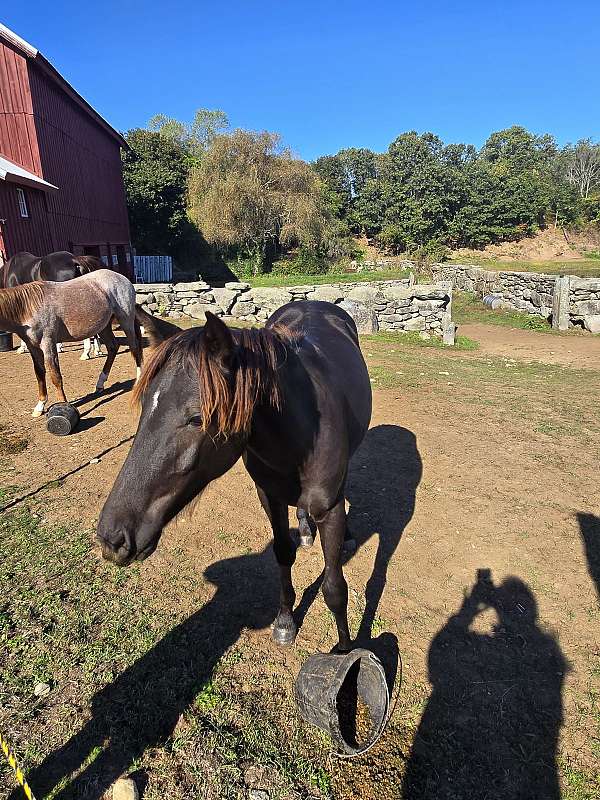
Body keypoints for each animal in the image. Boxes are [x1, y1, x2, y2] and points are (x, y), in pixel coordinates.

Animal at [0, 270, 143, 417]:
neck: (29, 308)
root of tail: (122, 278)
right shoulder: (33, 347)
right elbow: (39, 374)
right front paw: (40, 406)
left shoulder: (48, 344)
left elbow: (55, 376)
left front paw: (63, 406)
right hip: (104, 326)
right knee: (113, 347)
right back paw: (100, 384)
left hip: (126, 320)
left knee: (135, 347)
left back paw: (139, 379)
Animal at [97, 302, 372, 652]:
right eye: (145, 404)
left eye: (197, 418)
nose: (112, 537)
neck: (302, 432)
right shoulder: (269, 497)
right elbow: (283, 552)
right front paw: (285, 620)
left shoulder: (330, 509)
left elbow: (335, 587)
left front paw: (346, 652)